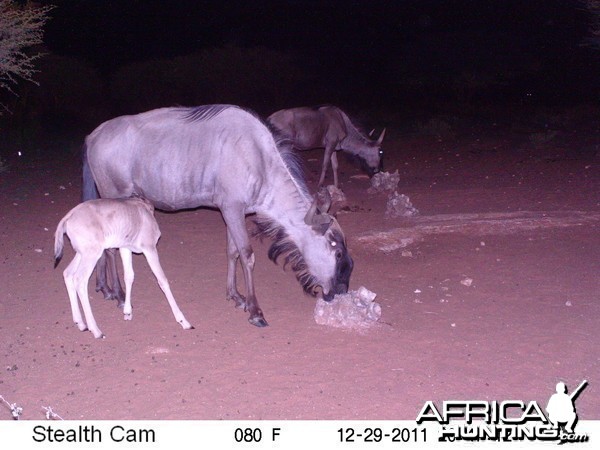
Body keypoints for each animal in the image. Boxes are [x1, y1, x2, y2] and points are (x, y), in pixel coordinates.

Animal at [54, 197, 192, 338]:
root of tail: (69, 216)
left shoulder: (125, 248)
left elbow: (129, 276)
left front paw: (127, 312)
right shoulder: (150, 248)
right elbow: (162, 280)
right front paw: (183, 321)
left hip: (82, 253)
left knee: (68, 273)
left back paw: (80, 323)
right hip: (91, 254)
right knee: (80, 280)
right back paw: (96, 330)